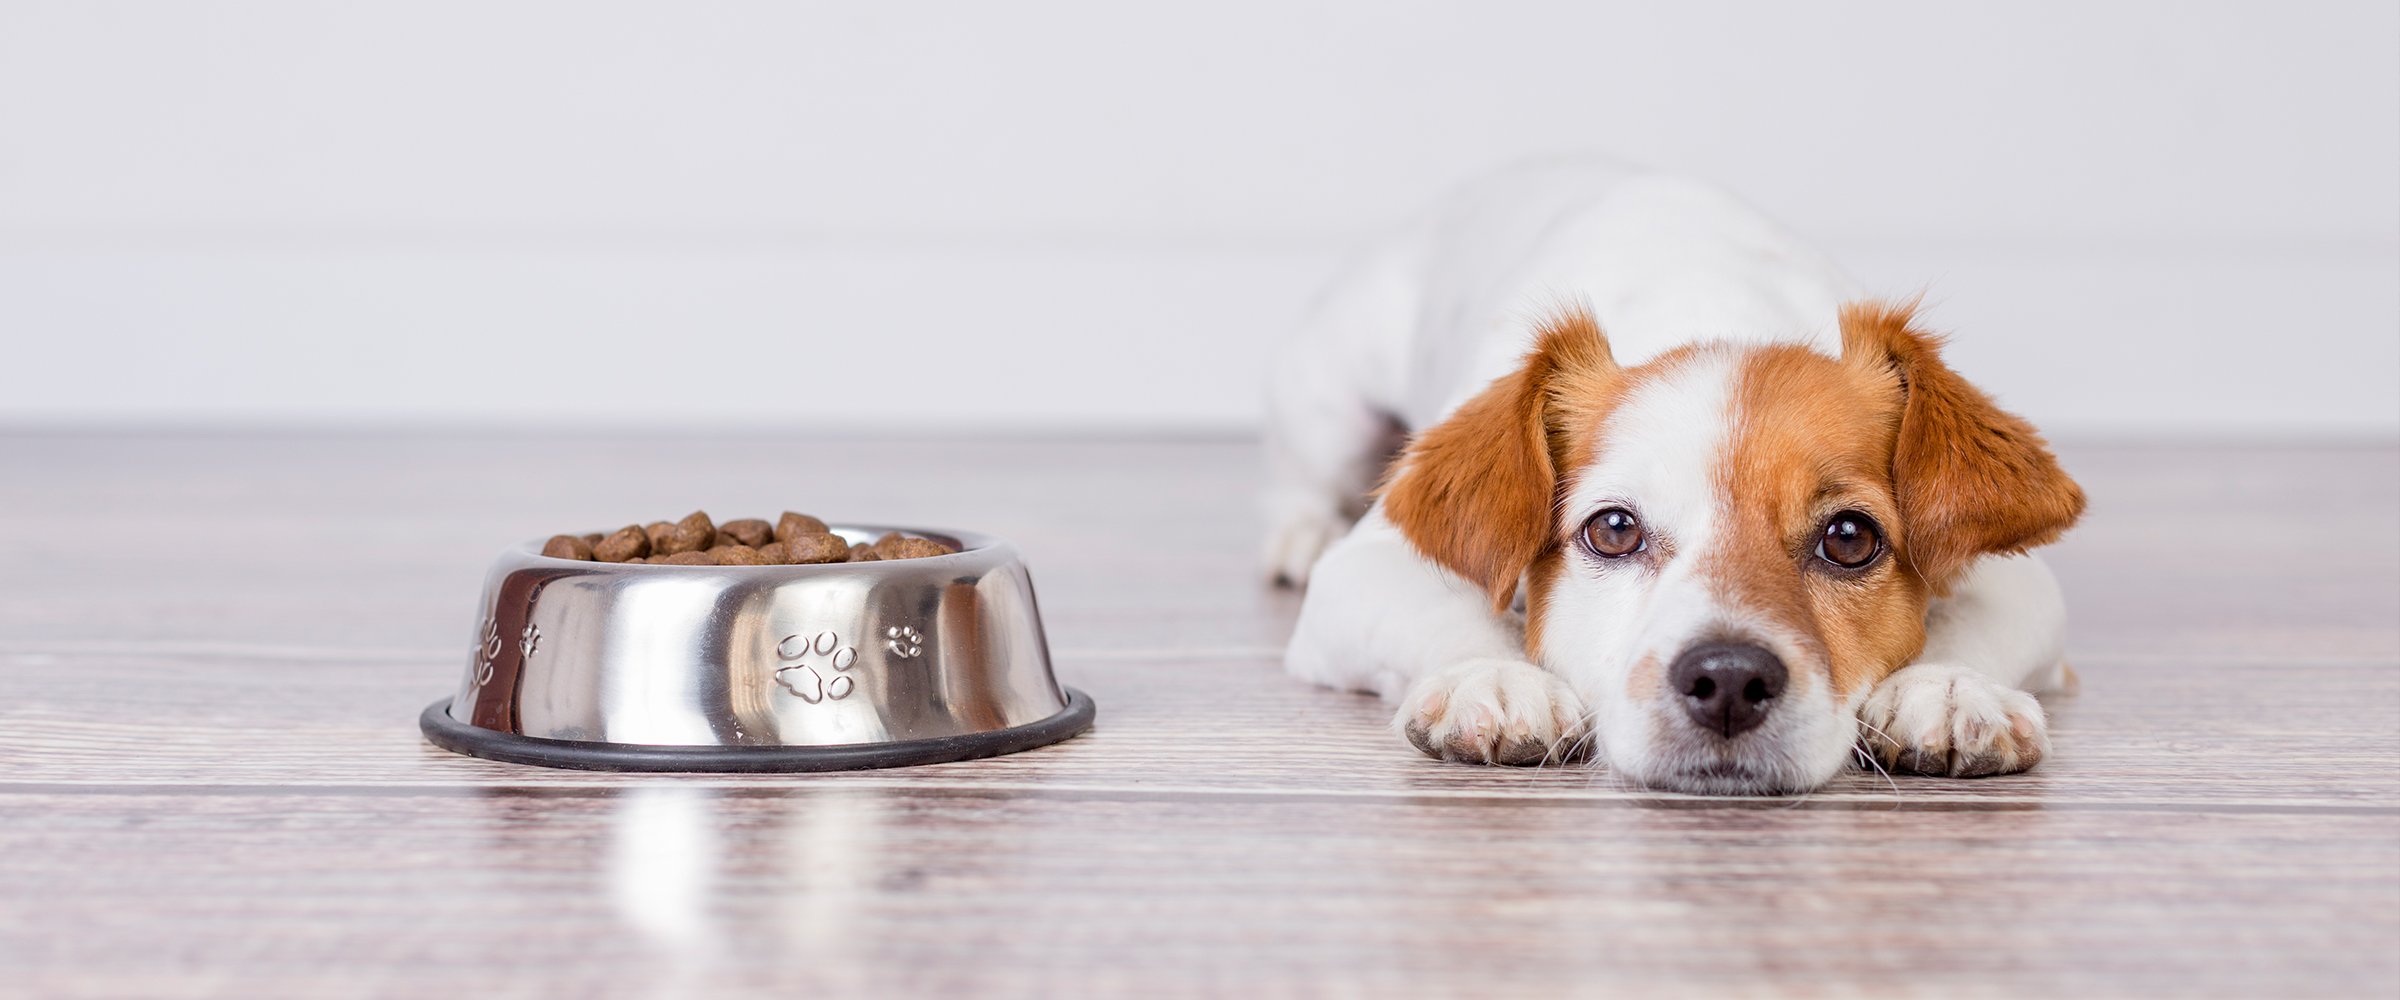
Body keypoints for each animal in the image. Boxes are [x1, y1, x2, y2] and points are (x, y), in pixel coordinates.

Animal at [1276, 159, 2083, 791]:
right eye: (1612, 529)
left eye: (1850, 538)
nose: (1727, 681)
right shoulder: (1368, 566)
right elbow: (1449, 610)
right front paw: (1491, 676)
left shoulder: (2015, 577)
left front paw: (1947, 688)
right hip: (1332, 407)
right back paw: (1297, 536)